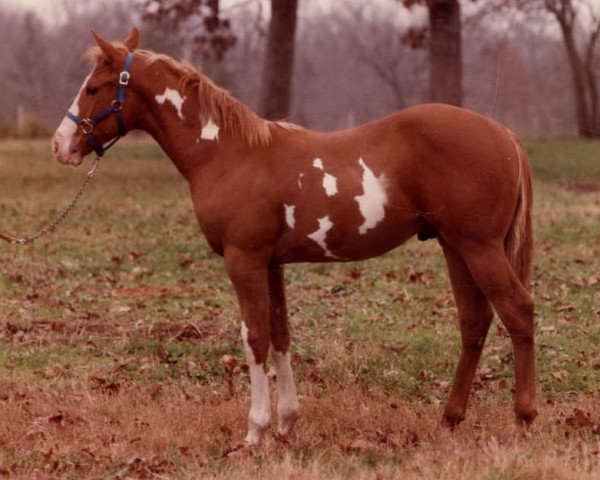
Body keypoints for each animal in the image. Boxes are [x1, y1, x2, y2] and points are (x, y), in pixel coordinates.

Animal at [51, 28, 536, 444]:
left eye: (93, 87)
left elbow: (254, 337)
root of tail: (503, 133)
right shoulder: (271, 262)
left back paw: (524, 417)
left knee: (518, 312)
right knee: (474, 322)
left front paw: (255, 431)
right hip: (456, 248)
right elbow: (281, 334)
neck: (228, 153)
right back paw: (451, 419)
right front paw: (286, 424)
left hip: (479, 248)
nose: (60, 145)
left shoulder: (244, 259)